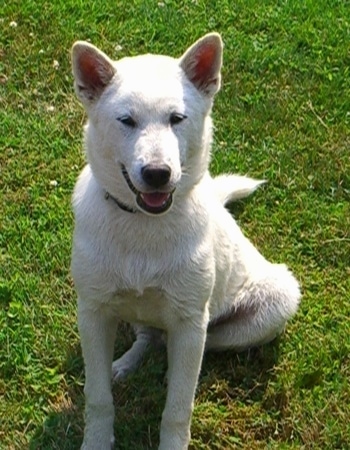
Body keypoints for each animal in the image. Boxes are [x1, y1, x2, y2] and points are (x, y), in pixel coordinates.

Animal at [71, 33, 300, 448]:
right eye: (126, 121)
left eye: (177, 119)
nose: (157, 174)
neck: (144, 226)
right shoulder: (93, 312)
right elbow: (97, 398)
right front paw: (96, 439)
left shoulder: (190, 320)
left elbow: (178, 408)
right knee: (149, 336)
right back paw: (125, 363)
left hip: (271, 301)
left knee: (197, 348)